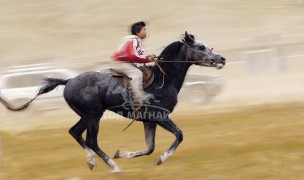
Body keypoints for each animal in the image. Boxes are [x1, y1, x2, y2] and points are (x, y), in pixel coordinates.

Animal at [0, 31, 226, 172]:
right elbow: (179, 135)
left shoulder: (149, 121)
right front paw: (161, 159)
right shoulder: (160, 116)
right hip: (93, 116)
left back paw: (93, 161)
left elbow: (149, 147)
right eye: (201, 46)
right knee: (91, 140)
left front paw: (121, 153)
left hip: (87, 115)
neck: (165, 78)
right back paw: (114, 167)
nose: (222, 59)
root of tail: (68, 80)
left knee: (75, 132)